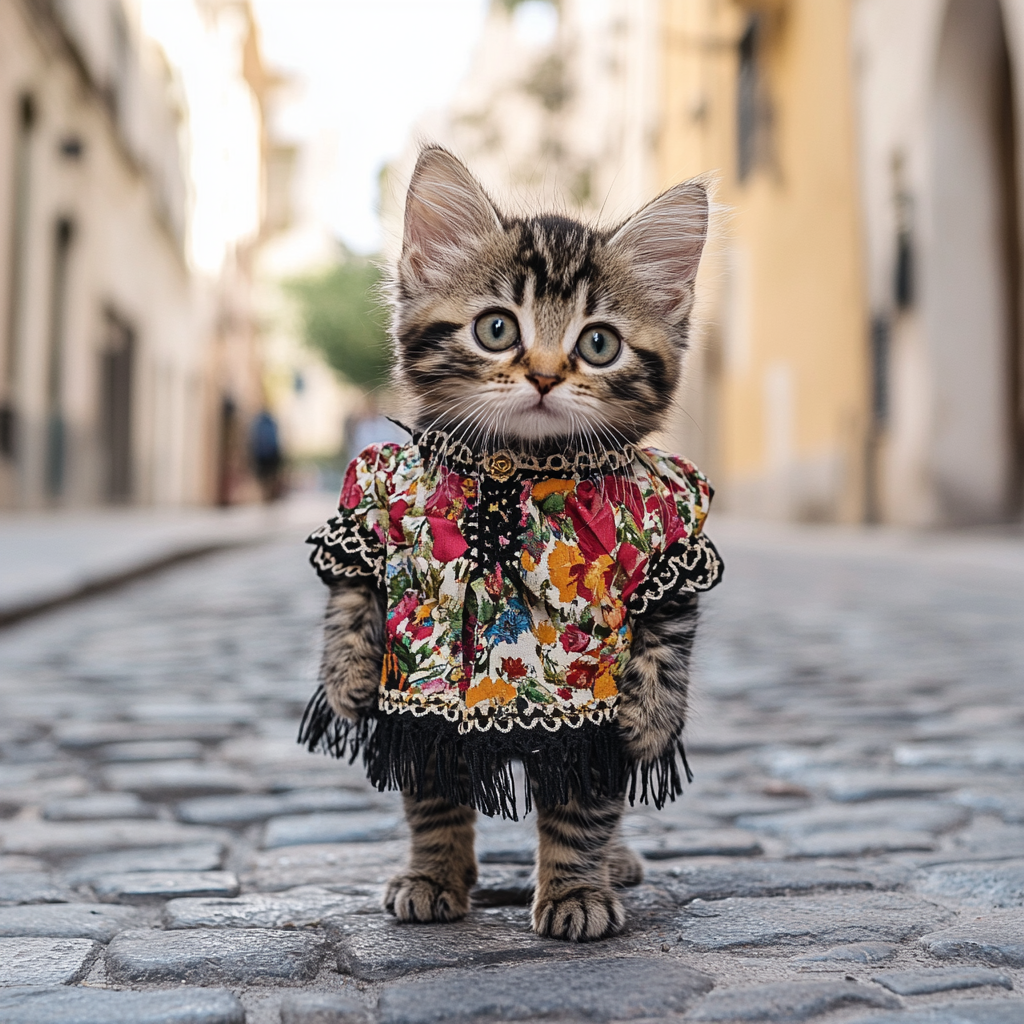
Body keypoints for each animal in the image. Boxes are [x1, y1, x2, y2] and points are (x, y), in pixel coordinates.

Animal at [303, 148, 720, 937]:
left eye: (597, 343)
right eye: (497, 329)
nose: (547, 375)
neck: (517, 469)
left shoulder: (666, 545)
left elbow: (596, 780)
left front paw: (576, 891)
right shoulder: (373, 523)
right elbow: (425, 773)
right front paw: (433, 875)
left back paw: (611, 863)